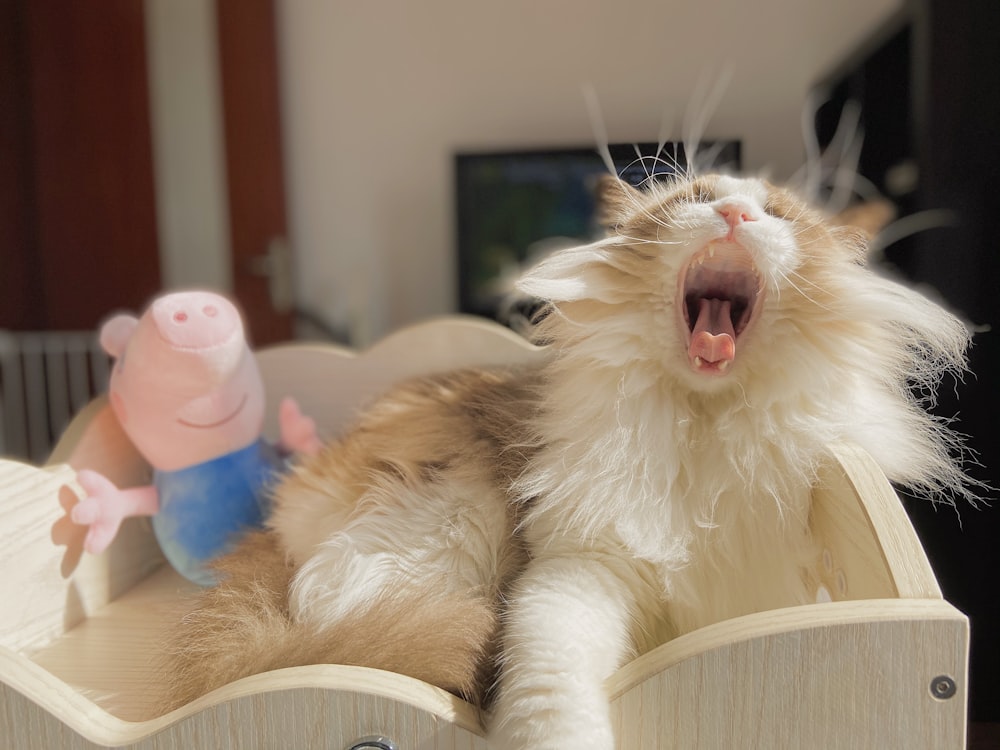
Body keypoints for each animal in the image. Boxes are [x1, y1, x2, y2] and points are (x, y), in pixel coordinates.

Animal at [160, 170, 972, 750]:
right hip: (452, 522)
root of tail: (274, 525)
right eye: (697, 198)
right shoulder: (580, 571)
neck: (703, 425)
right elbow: (555, 691)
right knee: (345, 614)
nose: (737, 217)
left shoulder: (768, 586)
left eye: (778, 214)